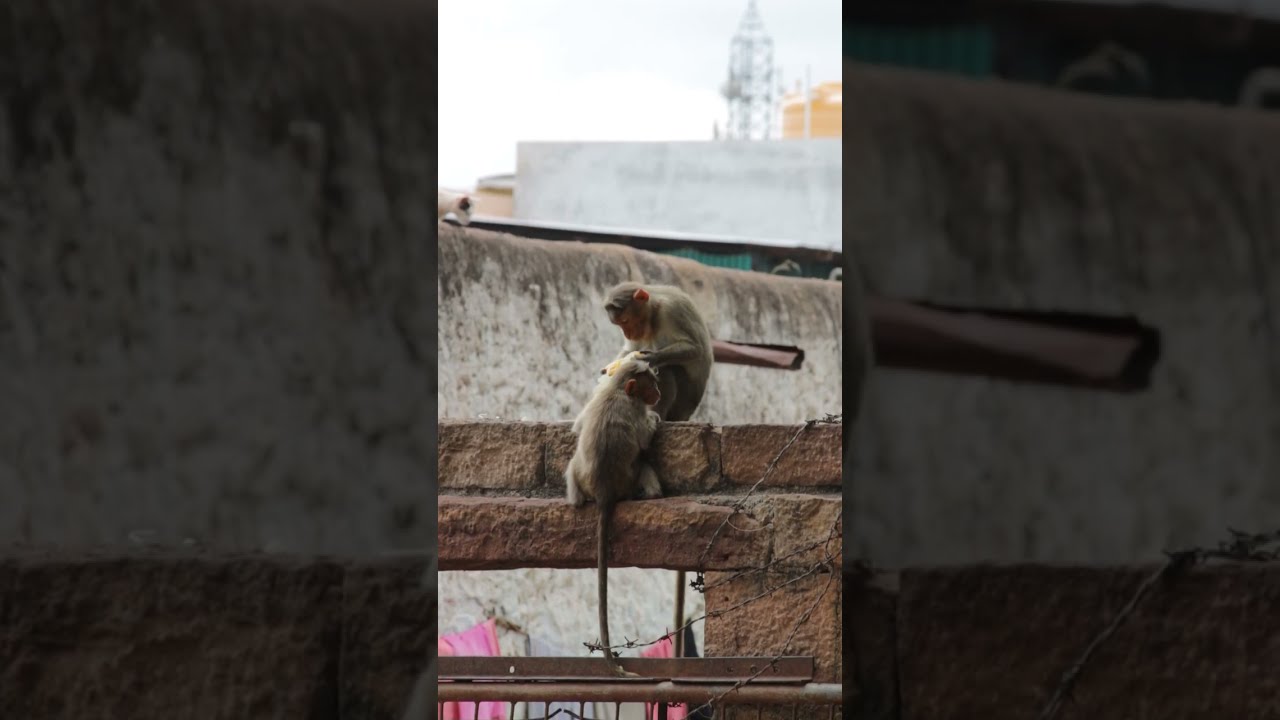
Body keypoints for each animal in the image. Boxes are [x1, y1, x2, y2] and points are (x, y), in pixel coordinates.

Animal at [565, 355, 664, 678]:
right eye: (650, 386)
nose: (658, 394)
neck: (619, 390)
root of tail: (604, 491)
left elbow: (577, 428)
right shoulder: (635, 410)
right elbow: (644, 441)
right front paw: (655, 420)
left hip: (581, 477)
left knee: (573, 463)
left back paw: (574, 501)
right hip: (628, 483)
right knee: (643, 463)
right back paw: (652, 493)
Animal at [601, 282, 714, 423]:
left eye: (625, 321)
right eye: (619, 324)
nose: (627, 334)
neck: (654, 312)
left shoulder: (672, 309)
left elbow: (695, 348)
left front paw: (651, 358)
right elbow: (630, 349)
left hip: (683, 403)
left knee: (666, 368)